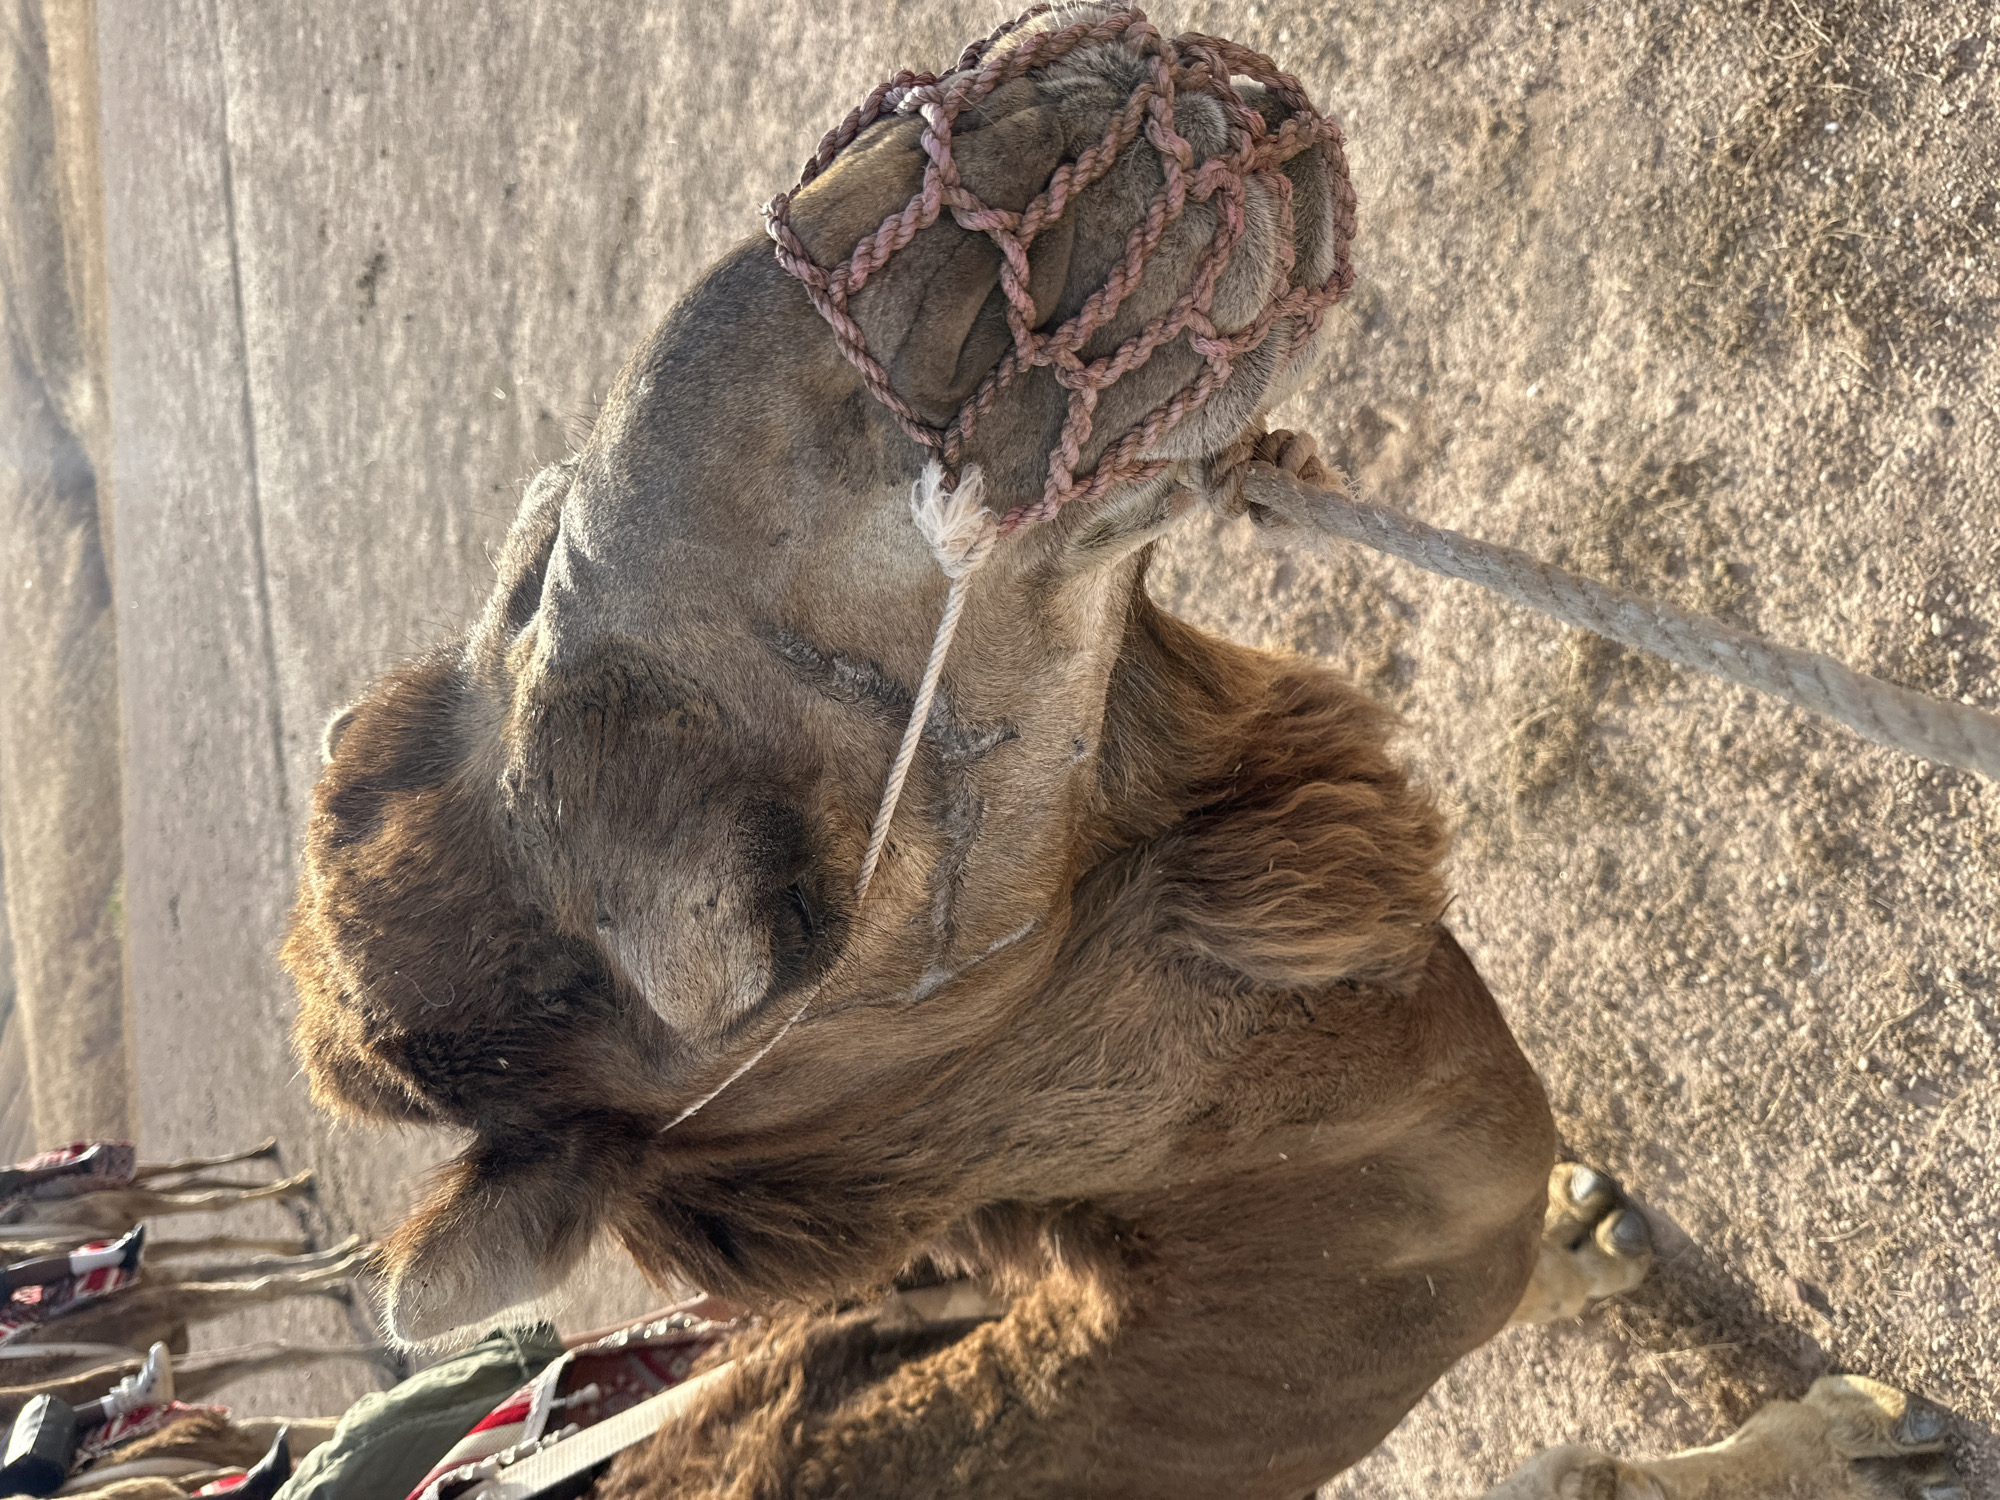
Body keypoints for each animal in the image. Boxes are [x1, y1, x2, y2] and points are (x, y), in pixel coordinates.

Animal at [282, 9, 1961, 1497]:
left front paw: (1582, 1232)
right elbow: (1598, 1465)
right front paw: (1849, 1439)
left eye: (527, 548)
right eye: (753, 935)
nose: (987, 158)